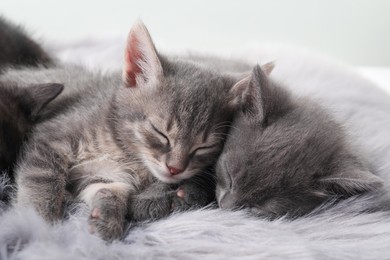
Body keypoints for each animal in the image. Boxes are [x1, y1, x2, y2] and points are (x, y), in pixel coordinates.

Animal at [8, 21, 250, 241]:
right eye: (160, 132)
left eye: (204, 146)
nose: (175, 169)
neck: (123, 150)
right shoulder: (50, 137)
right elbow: (41, 179)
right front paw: (39, 221)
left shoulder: (104, 176)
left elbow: (111, 189)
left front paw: (107, 215)